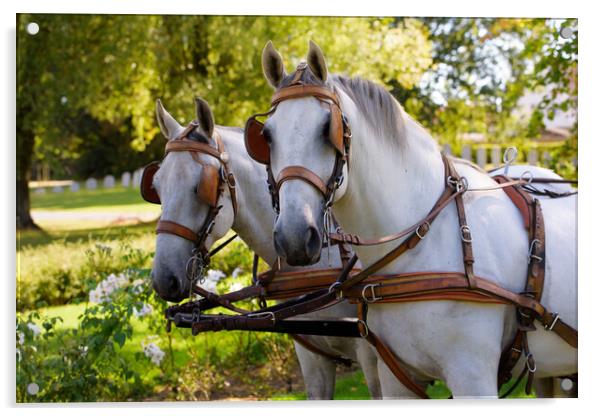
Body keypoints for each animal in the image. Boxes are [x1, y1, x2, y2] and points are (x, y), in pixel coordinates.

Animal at [255, 40, 576, 398]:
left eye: (328, 129)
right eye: (266, 136)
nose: (294, 237)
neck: (422, 244)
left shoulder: (473, 378)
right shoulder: (396, 378)